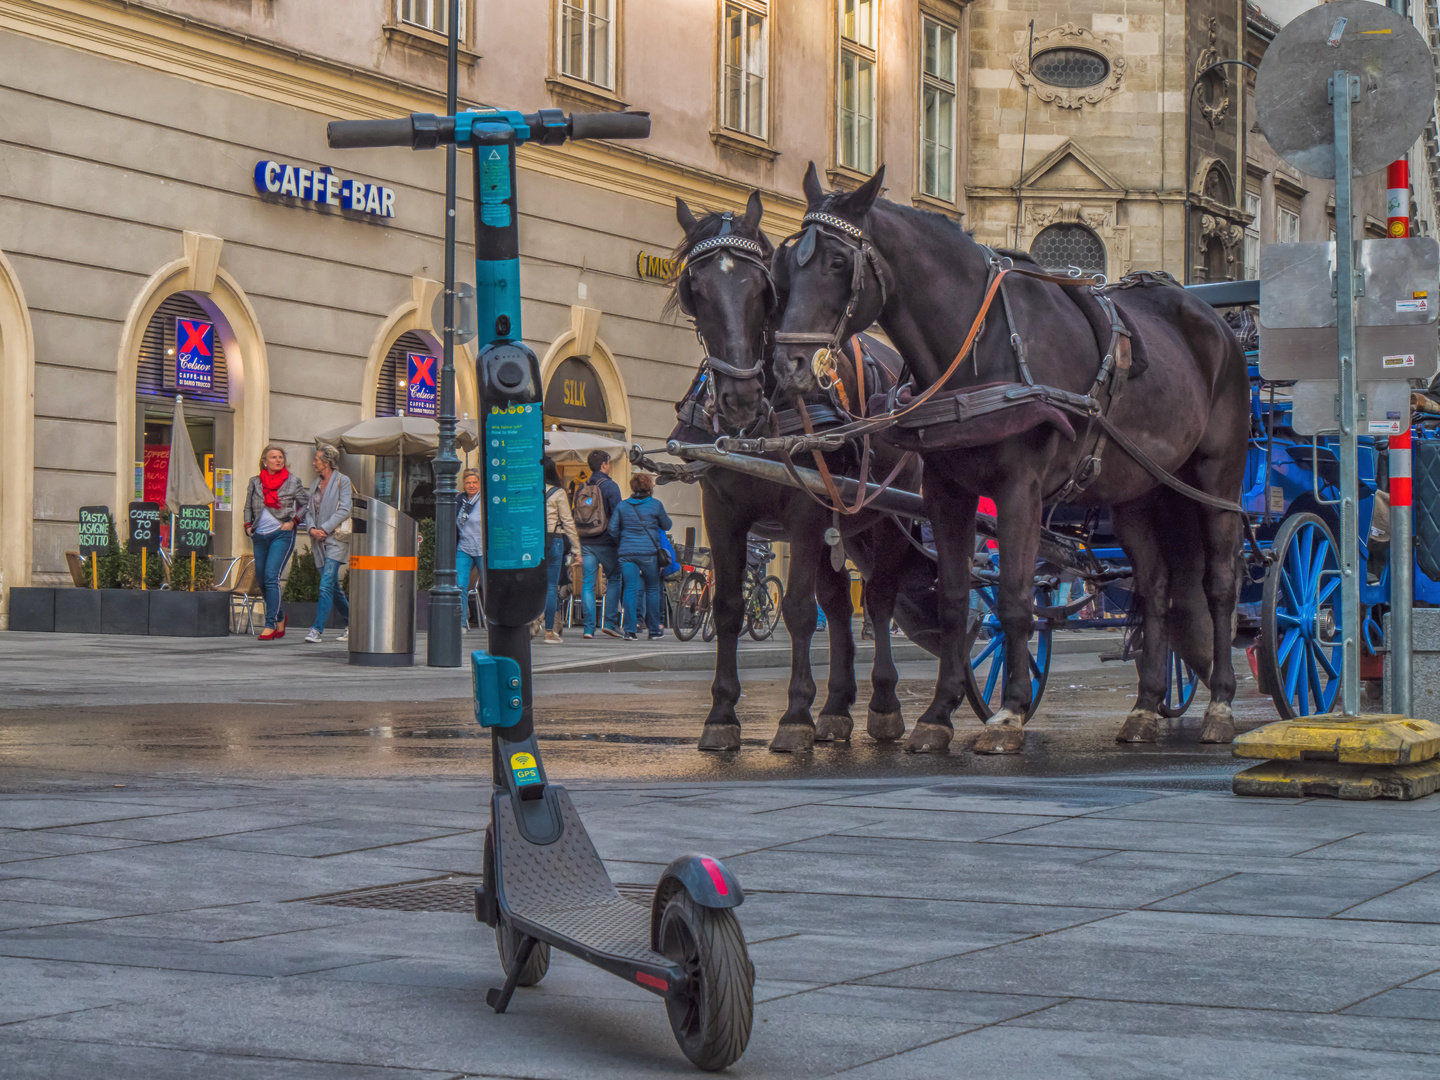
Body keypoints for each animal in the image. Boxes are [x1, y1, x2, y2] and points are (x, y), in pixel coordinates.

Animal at [668, 192, 938, 754]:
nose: (739, 396)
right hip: (847, 528)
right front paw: (722, 713)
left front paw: (795, 715)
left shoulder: (805, 516)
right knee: (837, 606)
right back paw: (836, 708)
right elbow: (728, 607)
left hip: (888, 518)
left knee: (878, 601)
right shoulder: (720, 512)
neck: (758, 426)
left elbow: (795, 609)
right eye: (695, 291)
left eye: (761, 289)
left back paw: (883, 703)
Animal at [766, 169, 1249, 754]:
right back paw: (1146, 707)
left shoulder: (1020, 488)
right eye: (786, 266)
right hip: (1139, 491)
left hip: (1216, 479)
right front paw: (939, 714)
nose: (788, 365)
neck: (980, 345)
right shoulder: (946, 492)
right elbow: (955, 601)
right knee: (1155, 588)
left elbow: (1016, 598)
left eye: (838, 263)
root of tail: (1217, 326)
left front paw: (1011, 712)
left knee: (1221, 585)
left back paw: (1220, 703)